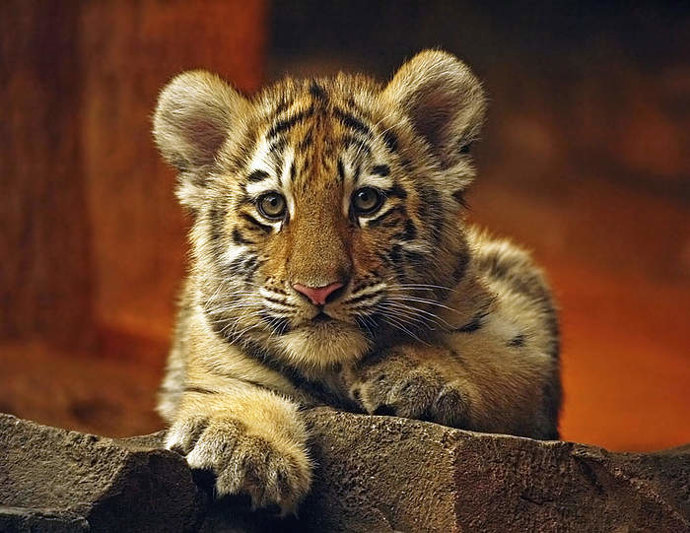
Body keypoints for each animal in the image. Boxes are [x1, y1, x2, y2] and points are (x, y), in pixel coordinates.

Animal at [152, 50, 561, 514]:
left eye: (366, 200)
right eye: (272, 205)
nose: (318, 290)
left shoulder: (523, 337)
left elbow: (481, 353)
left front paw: (414, 375)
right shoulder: (214, 339)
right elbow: (229, 382)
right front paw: (243, 448)